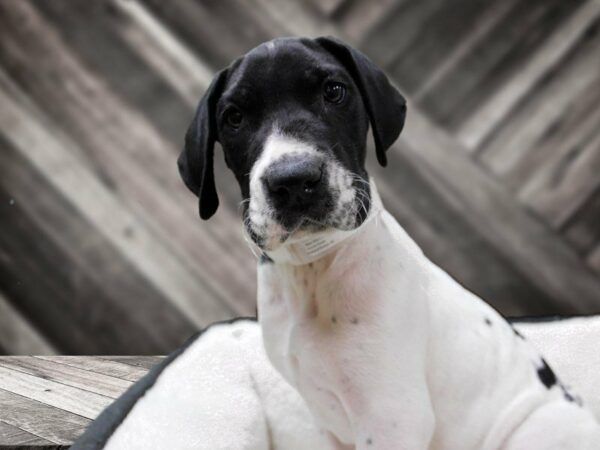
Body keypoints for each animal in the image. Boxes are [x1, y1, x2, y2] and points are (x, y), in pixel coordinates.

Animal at [74, 37, 600, 448]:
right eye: (234, 117)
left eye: (334, 91)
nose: (293, 180)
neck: (314, 270)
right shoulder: (325, 418)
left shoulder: (393, 421)